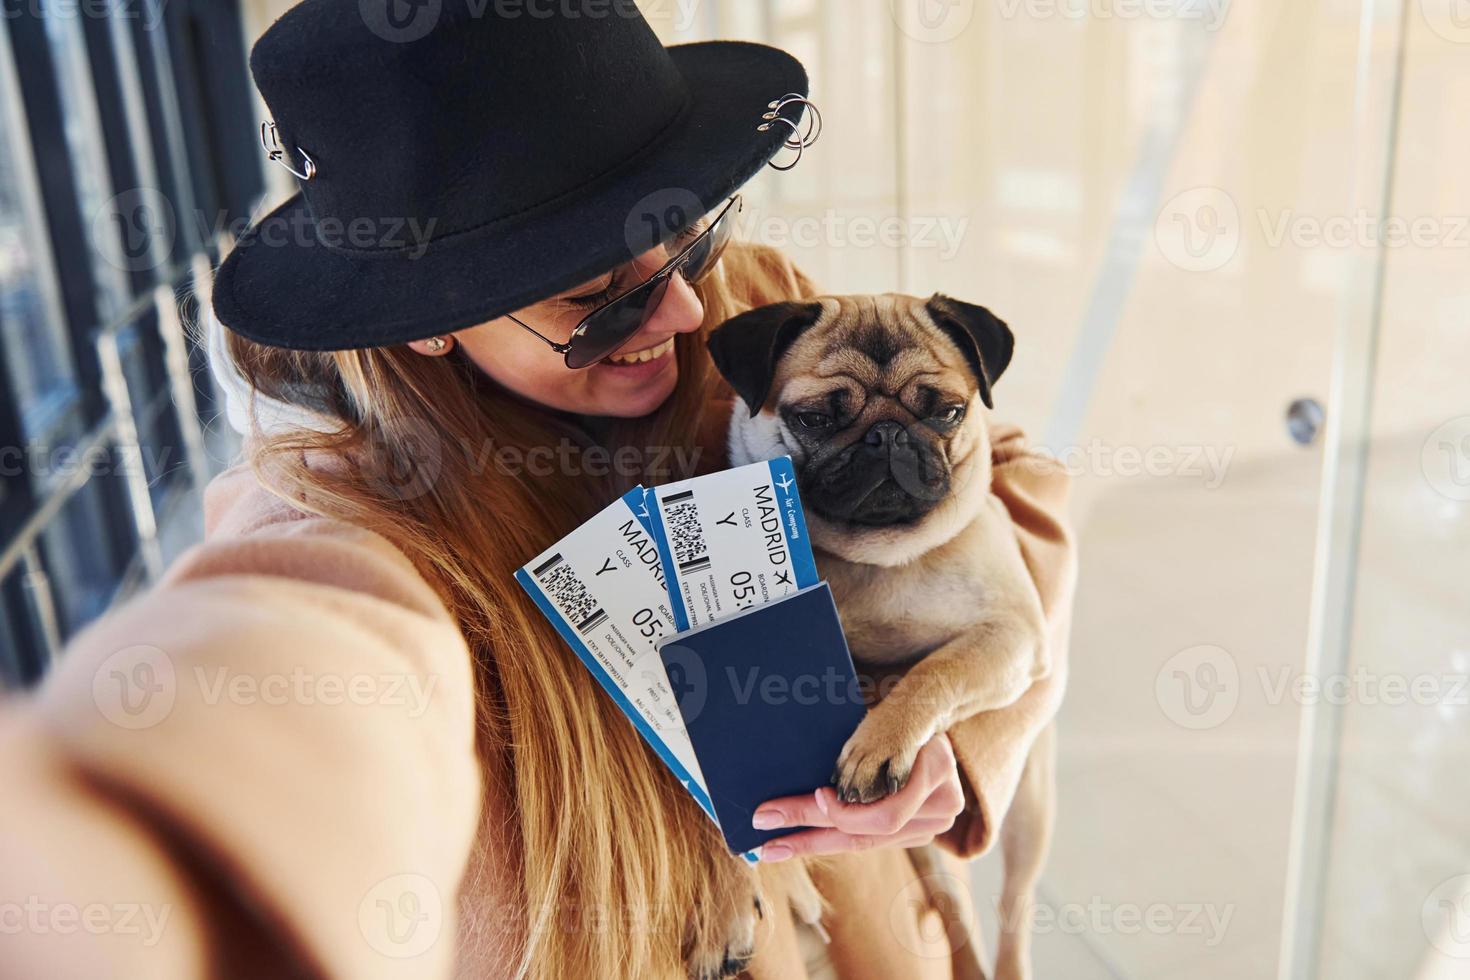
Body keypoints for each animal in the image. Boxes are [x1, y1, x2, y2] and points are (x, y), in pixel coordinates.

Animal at [699, 295, 1058, 980]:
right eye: (813, 418)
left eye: (947, 412)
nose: (888, 434)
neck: (880, 558)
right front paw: (730, 901)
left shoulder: (1012, 637)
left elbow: (933, 674)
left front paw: (879, 743)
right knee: (949, 903)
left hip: (1029, 812)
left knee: (1014, 908)